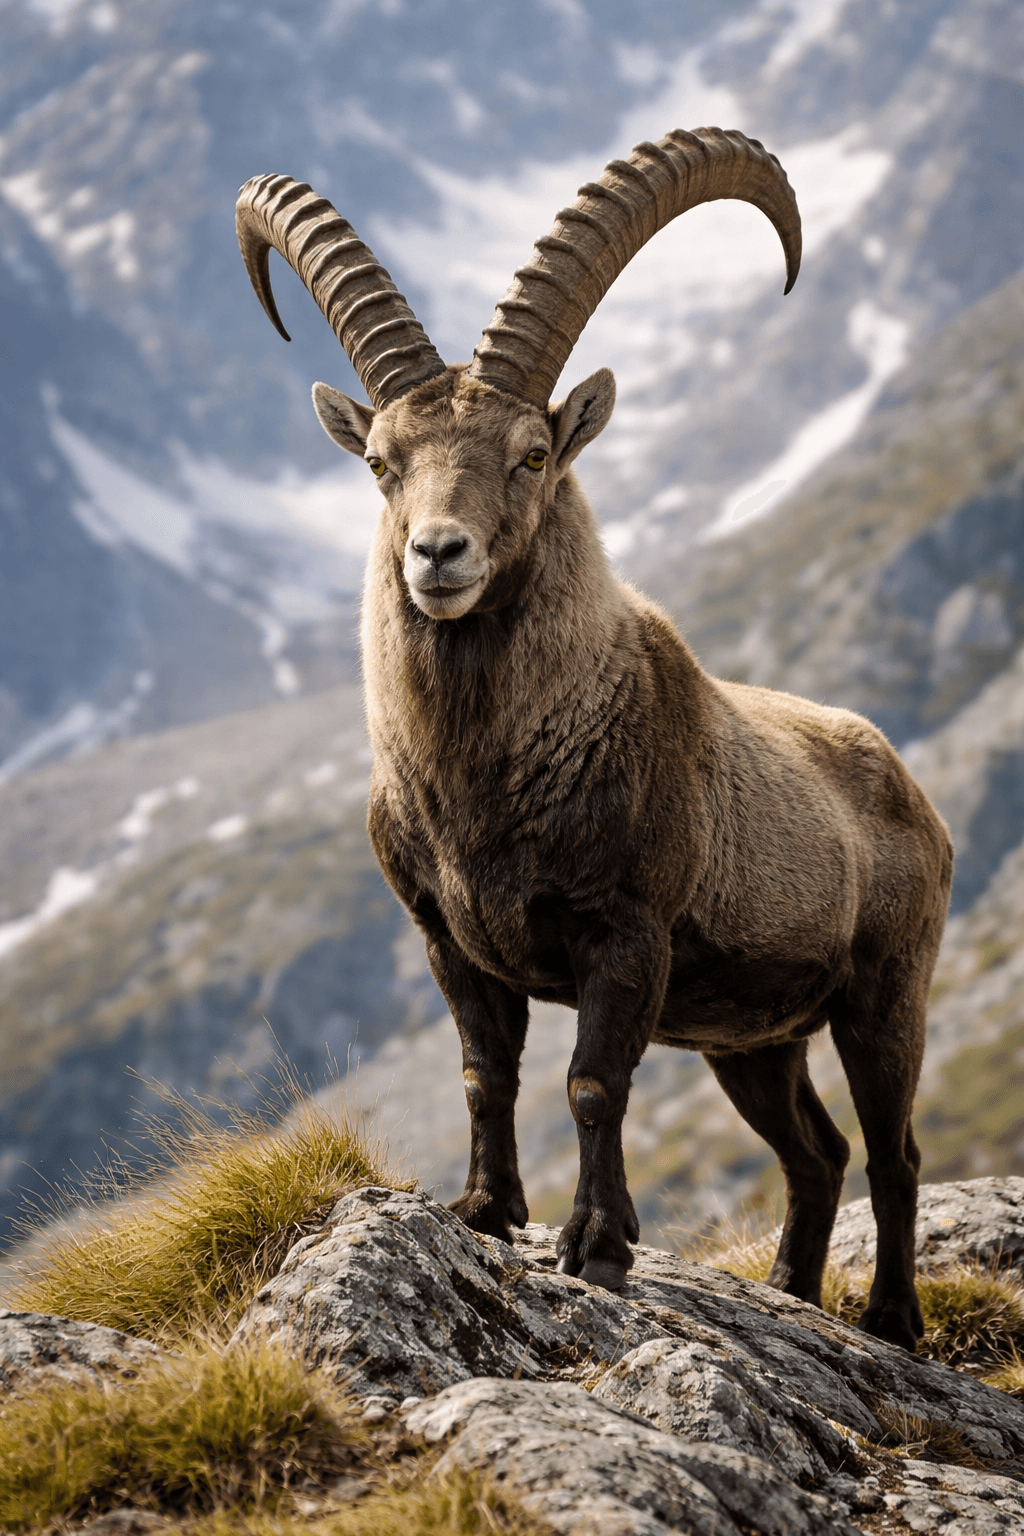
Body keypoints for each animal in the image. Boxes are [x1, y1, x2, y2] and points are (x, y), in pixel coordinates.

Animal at [237, 127, 952, 1351]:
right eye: (380, 461)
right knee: (816, 1155)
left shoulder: (628, 935)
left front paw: (595, 1246)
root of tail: (912, 791)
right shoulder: (448, 937)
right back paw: (791, 1293)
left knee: (894, 1150)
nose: (438, 554)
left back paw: (891, 1320)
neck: (486, 780)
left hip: (882, 994)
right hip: (753, 1041)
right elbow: (486, 1073)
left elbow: (590, 1084)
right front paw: (484, 1211)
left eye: (531, 453)